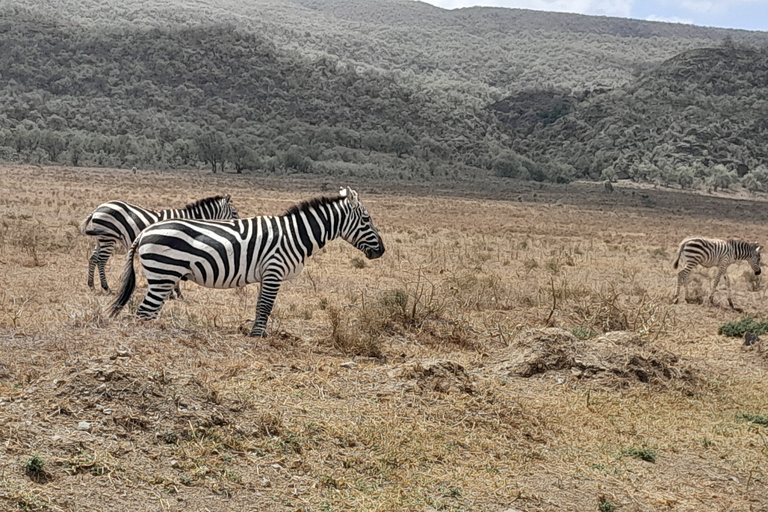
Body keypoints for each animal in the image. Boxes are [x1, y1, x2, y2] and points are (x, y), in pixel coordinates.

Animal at [80, 195, 238, 294]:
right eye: (235, 213)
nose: (237, 224)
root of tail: (97, 209)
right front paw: (176, 293)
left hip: (100, 239)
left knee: (93, 259)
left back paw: (91, 285)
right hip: (108, 237)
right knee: (101, 261)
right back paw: (106, 287)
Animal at [108, 187, 384, 336]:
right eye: (367, 219)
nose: (381, 250)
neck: (295, 234)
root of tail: (145, 231)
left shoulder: (267, 274)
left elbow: (260, 305)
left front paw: (256, 332)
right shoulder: (274, 269)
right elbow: (266, 306)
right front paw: (259, 335)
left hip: (164, 277)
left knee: (149, 311)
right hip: (163, 273)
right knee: (144, 312)